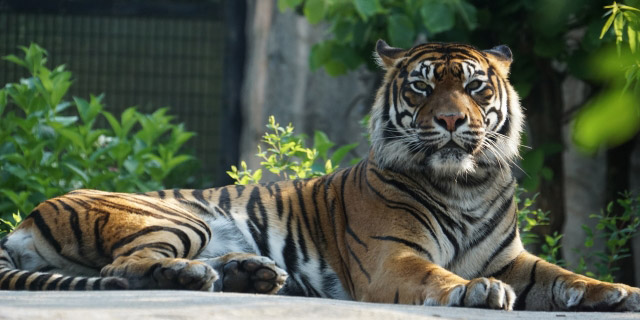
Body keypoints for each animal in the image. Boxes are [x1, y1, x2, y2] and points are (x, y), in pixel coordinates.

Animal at [1, 38, 640, 312]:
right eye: (421, 87)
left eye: (475, 87)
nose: (452, 119)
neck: (466, 183)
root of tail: (25, 218)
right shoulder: (392, 257)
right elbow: (436, 275)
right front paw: (473, 291)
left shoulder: (511, 257)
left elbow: (564, 275)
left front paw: (618, 292)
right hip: (175, 216)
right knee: (124, 267)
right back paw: (199, 276)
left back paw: (253, 274)